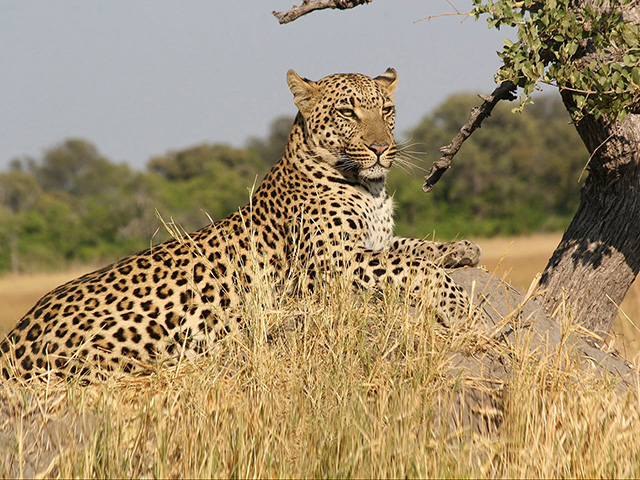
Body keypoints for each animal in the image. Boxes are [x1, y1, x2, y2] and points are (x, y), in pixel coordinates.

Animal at [0, 68, 482, 381]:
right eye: (347, 112)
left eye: (387, 109)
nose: (383, 147)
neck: (370, 188)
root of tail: (13, 337)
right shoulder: (324, 265)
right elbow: (411, 266)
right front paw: (461, 307)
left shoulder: (371, 242)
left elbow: (416, 247)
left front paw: (463, 249)